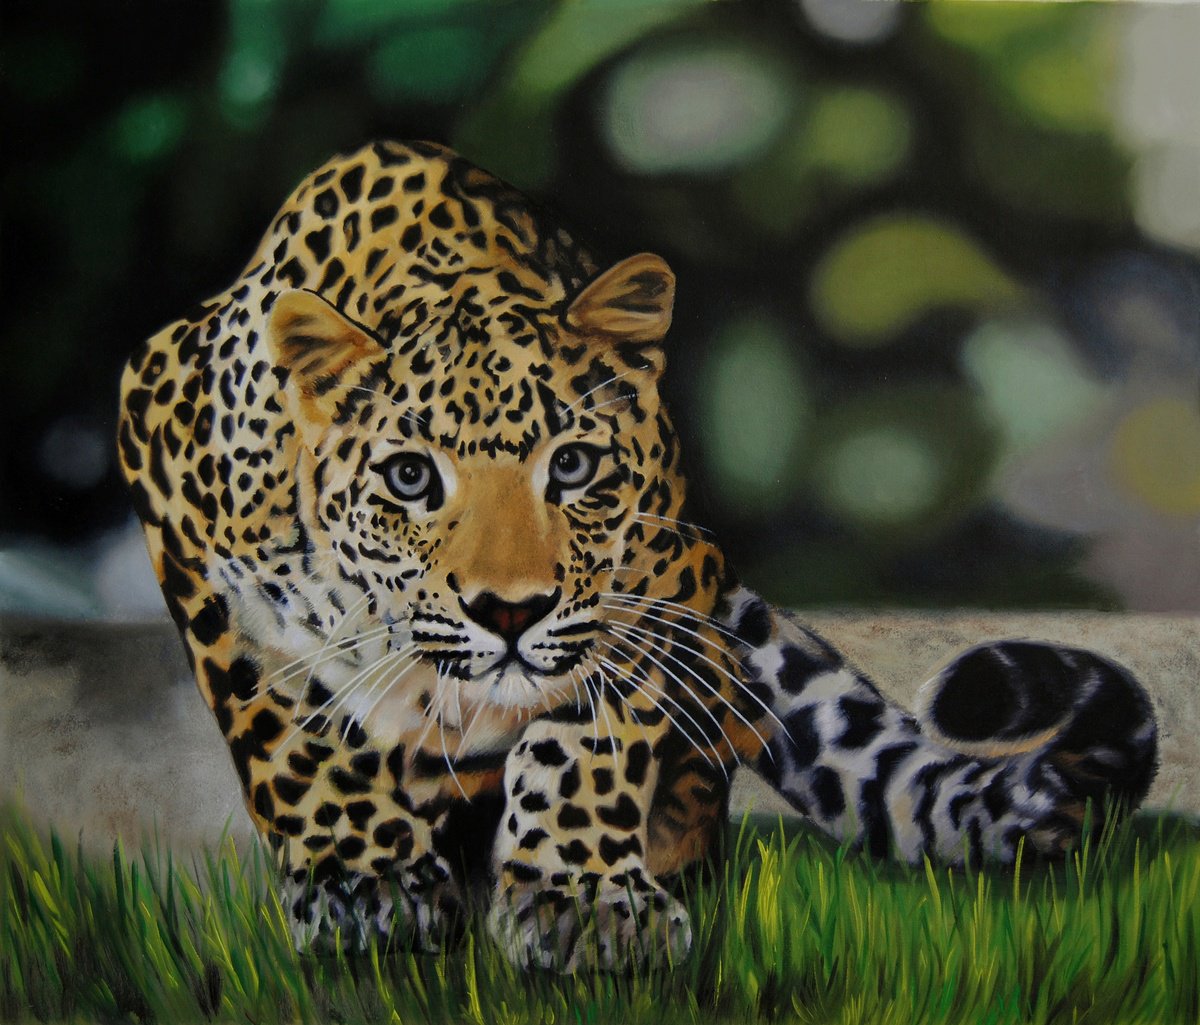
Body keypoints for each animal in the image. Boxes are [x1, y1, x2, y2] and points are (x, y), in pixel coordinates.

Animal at [117, 140, 1158, 971]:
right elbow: (285, 725)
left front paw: (578, 896)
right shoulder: (172, 477)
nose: (509, 611)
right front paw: (359, 880)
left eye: (573, 465)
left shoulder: (658, 578)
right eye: (410, 478)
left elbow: (589, 735)